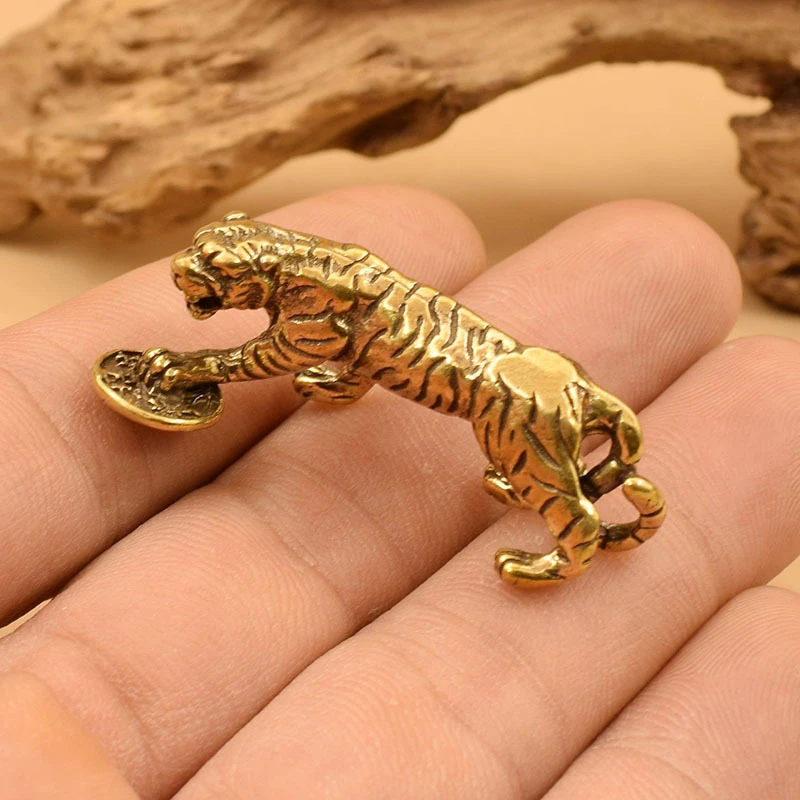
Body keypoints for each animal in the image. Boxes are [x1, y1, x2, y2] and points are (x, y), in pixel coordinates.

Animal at [141, 211, 665, 586]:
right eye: (195, 241)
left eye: (209, 259)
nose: (174, 267)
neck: (290, 250)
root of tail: (581, 383)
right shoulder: (362, 353)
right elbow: (355, 376)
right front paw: (329, 386)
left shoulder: (296, 339)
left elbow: (238, 356)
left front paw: (178, 364)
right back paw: (508, 493)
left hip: (524, 448)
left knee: (580, 517)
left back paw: (536, 570)